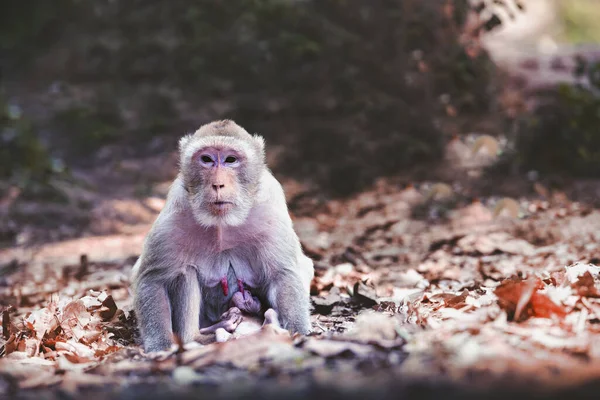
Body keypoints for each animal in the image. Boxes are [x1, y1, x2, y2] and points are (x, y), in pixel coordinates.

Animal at [132, 119, 314, 354]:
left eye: (230, 160)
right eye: (207, 159)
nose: (218, 184)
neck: (222, 224)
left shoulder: (269, 213)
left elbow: (283, 273)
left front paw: (298, 332)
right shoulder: (175, 214)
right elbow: (153, 278)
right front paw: (161, 347)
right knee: (186, 272)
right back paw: (205, 334)